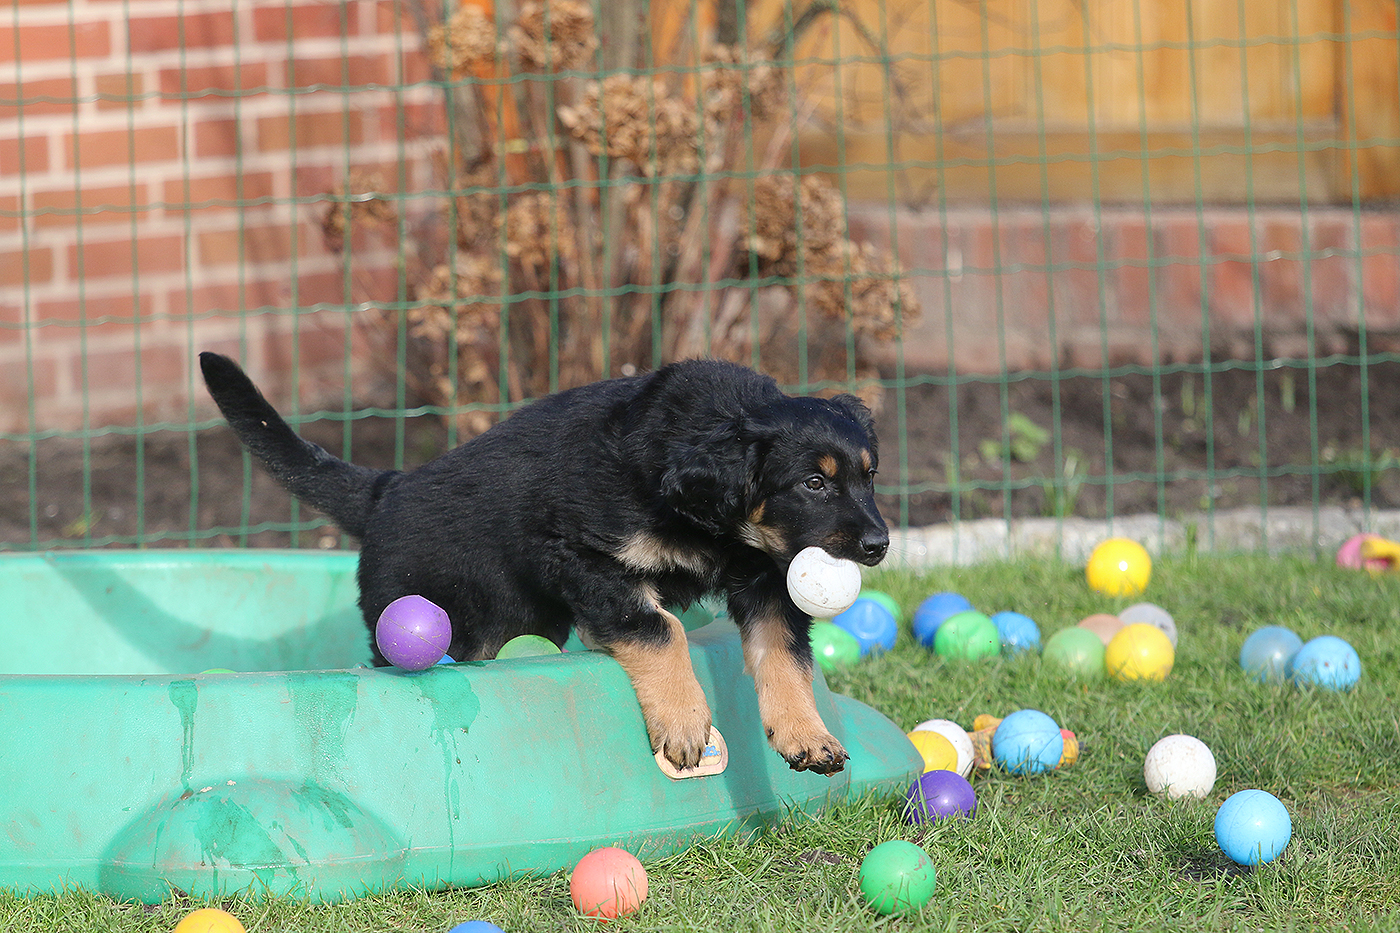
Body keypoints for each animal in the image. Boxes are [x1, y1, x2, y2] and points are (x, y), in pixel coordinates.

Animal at [200, 353, 889, 775]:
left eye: (869, 476)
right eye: (813, 484)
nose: (880, 545)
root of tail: (385, 490)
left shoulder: (767, 576)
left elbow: (783, 654)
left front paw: (806, 734)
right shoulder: (583, 558)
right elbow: (659, 630)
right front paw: (684, 720)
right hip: (454, 621)